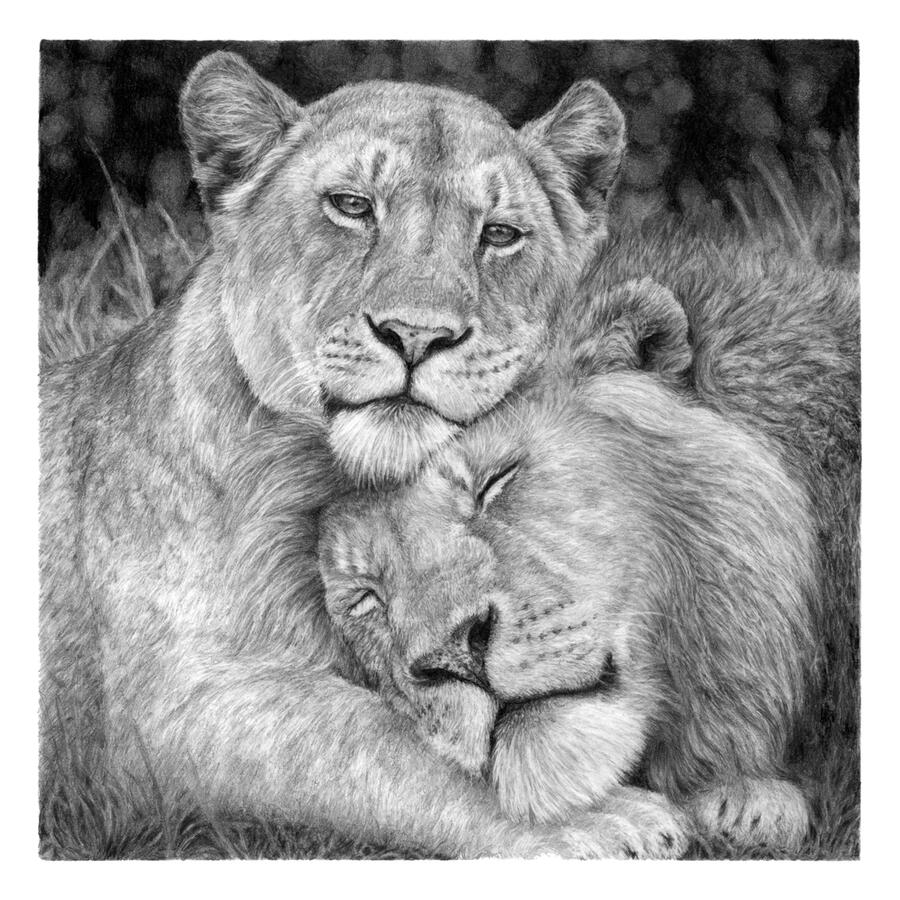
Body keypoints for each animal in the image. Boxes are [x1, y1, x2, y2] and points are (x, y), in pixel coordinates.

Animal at [40, 51, 649, 857]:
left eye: (499, 234)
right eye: (353, 206)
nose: (417, 334)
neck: (328, 483)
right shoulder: (156, 721)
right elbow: (379, 737)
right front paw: (595, 818)